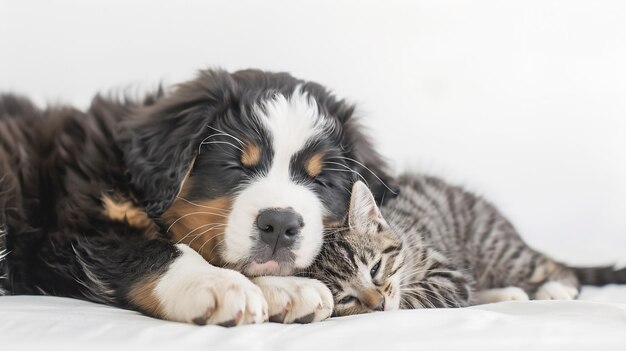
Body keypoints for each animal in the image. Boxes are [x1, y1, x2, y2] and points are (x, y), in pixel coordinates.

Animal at [0, 68, 392, 328]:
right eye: (235, 166)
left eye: (320, 180)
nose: (280, 224)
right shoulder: (79, 231)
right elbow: (164, 250)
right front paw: (216, 284)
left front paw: (287, 288)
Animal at [308, 177, 624, 318]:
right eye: (345, 299)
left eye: (375, 269)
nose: (379, 304)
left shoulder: (448, 274)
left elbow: (420, 297)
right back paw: (507, 294)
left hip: (498, 250)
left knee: (550, 266)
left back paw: (556, 287)